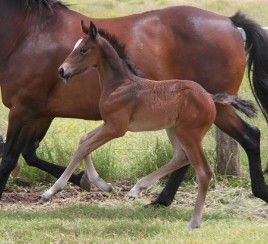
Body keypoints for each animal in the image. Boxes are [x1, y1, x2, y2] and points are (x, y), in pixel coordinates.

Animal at [40, 21, 256, 229]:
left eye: (83, 49)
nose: (62, 70)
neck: (119, 85)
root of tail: (210, 97)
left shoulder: (116, 128)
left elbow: (83, 147)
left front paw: (50, 192)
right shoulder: (109, 123)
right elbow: (83, 140)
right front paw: (104, 185)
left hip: (188, 133)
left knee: (203, 171)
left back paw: (193, 222)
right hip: (173, 129)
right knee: (181, 156)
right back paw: (137, 189)